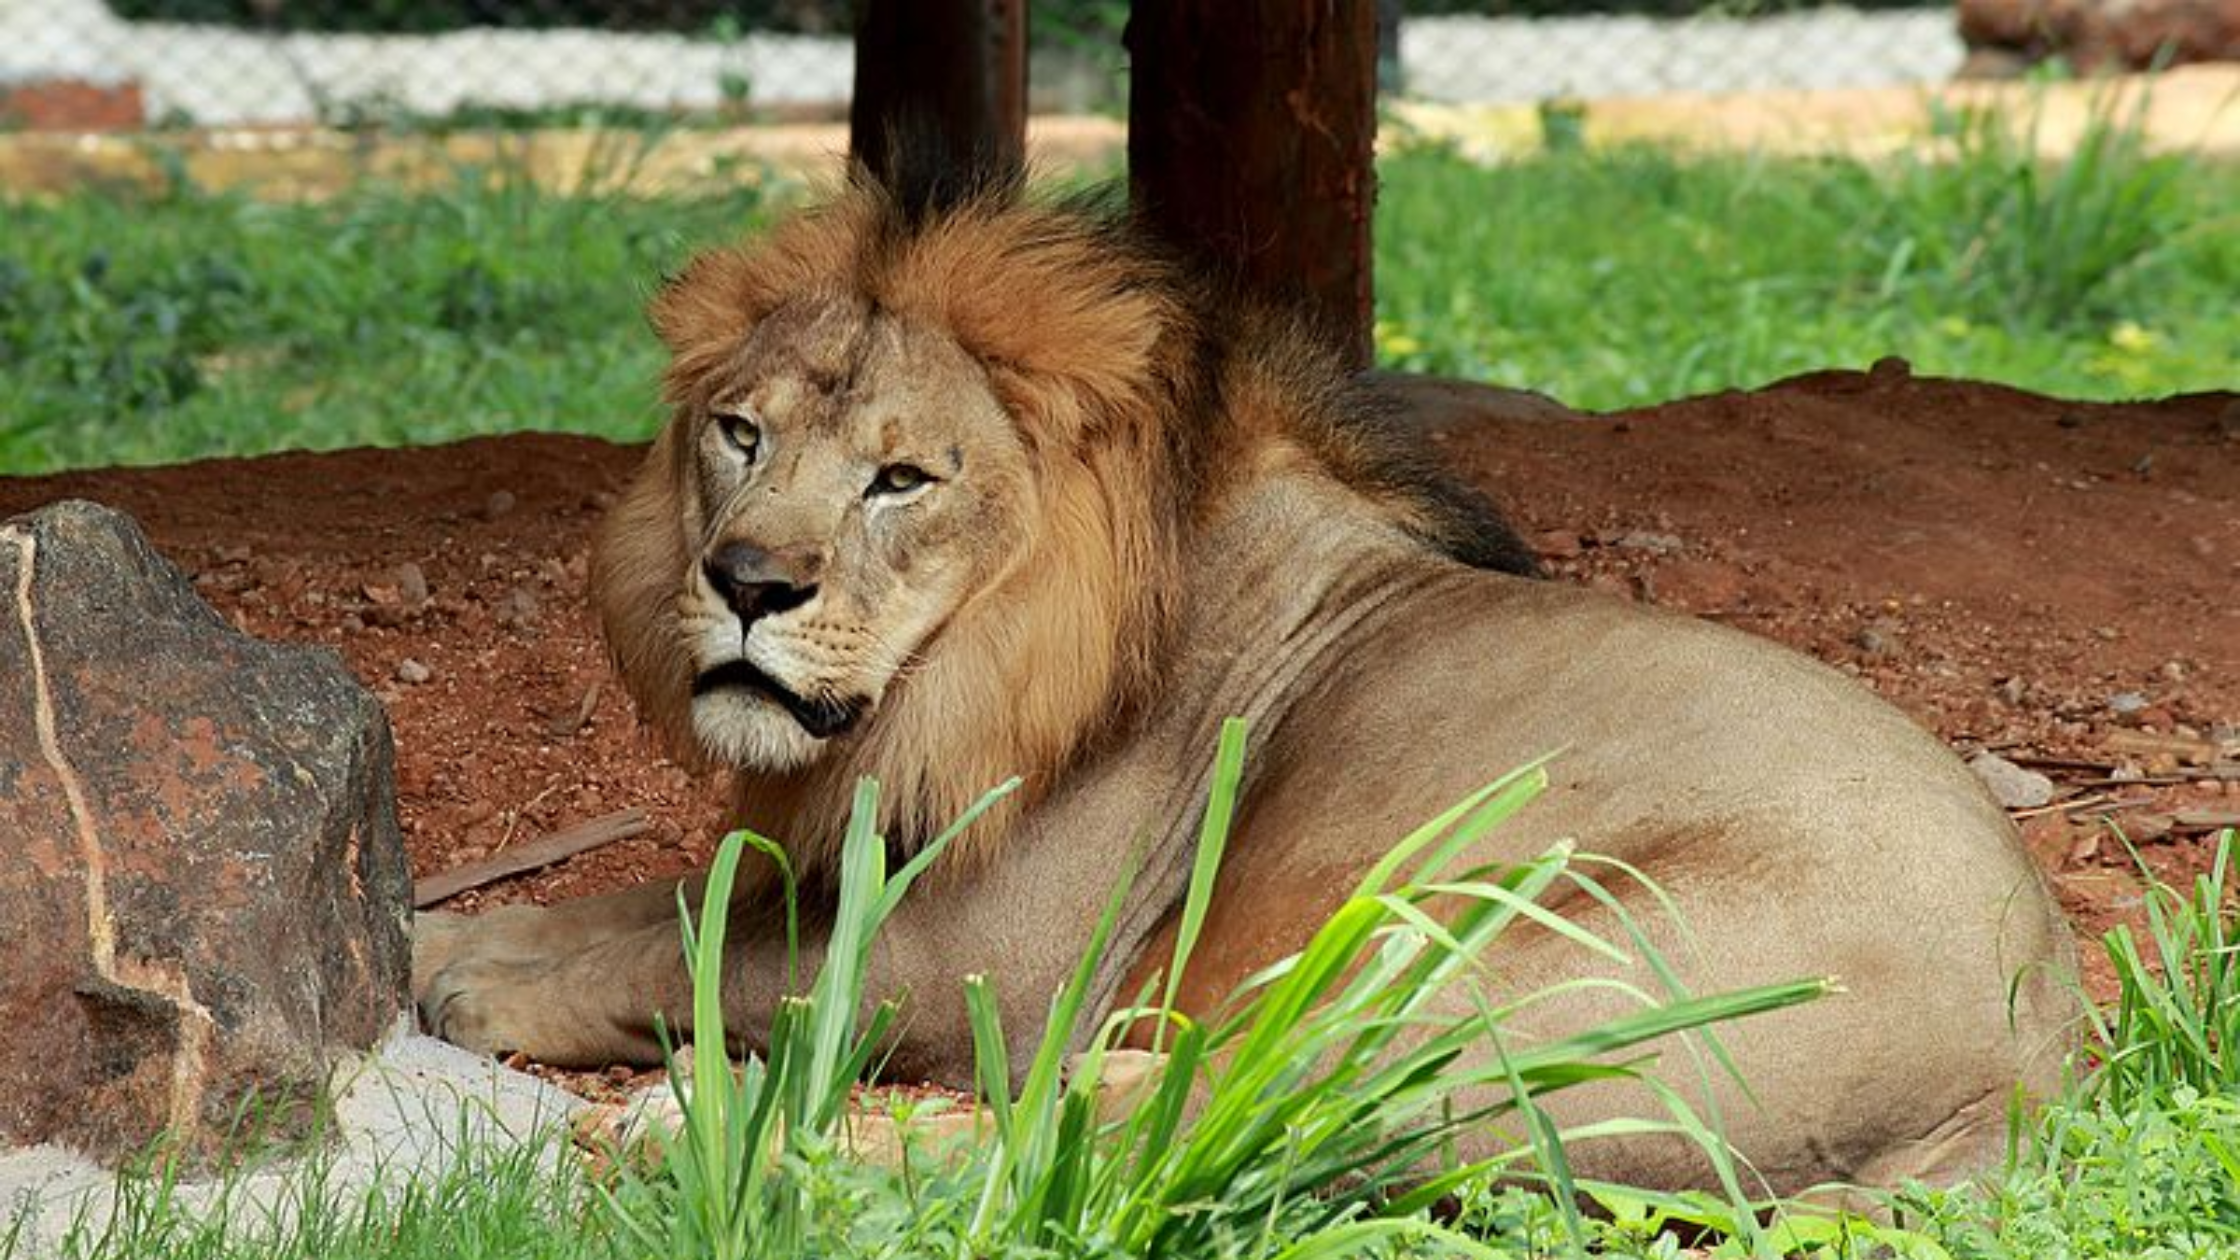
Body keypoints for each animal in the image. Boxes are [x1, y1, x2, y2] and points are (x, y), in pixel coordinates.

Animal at [412, 161, 2069, 1192]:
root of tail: (2035, 1048)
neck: (974, 670)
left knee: (1172, 1128)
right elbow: (659, 904)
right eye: (740, 434)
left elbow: (702, 956)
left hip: (1473, 976)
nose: (748, 583)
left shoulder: (982, 952)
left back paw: (714, 1132)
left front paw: (484, 987)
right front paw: (451, 940)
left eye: (901, 478)